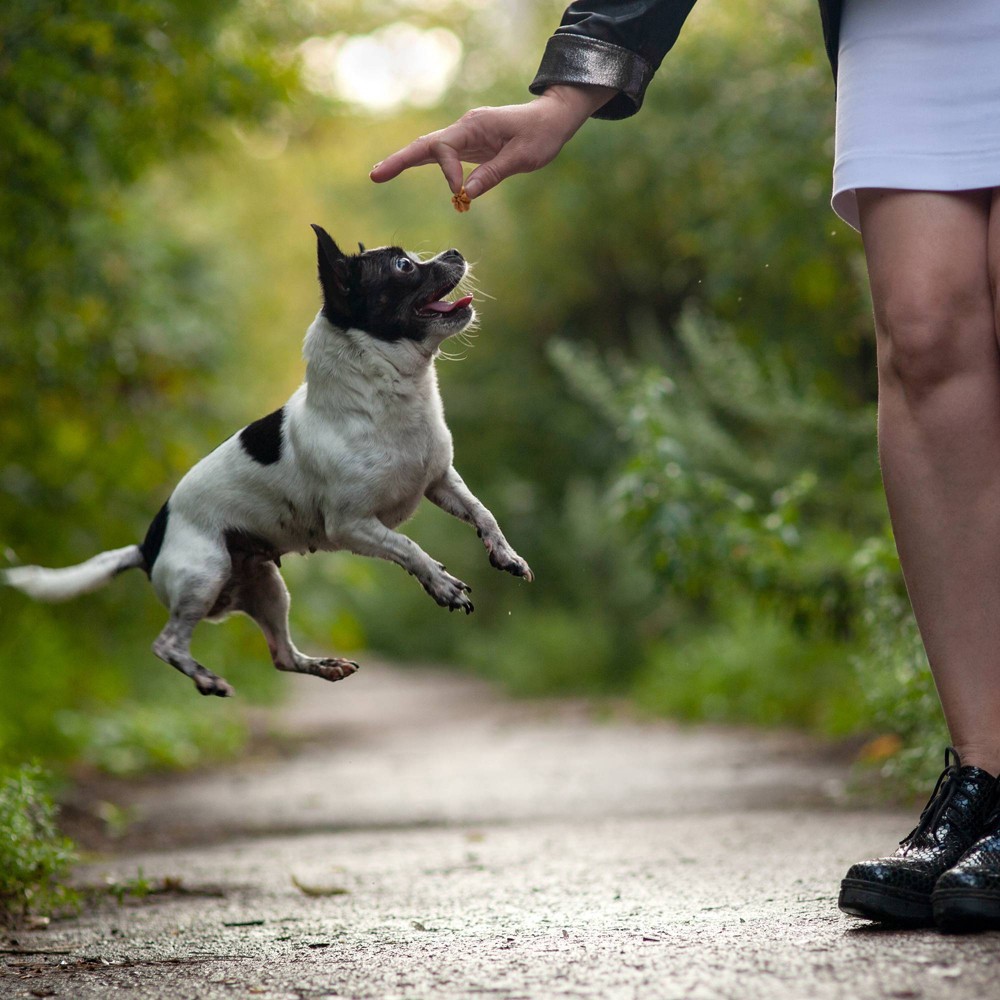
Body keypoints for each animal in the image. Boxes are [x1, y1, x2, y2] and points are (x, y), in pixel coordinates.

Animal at [3, 225, 536, 696]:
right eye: (403, 266)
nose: (454, 250)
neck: (388, 397)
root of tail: (147, 545)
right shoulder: (353, 525)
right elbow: (409, 548)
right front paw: (442, 585)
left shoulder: (440, 481)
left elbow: (484, 514)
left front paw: (506, 555)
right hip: (204, 573)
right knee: (166, 643)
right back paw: (207, 678)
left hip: (266, 586)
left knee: (281, 654)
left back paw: (323, 666)